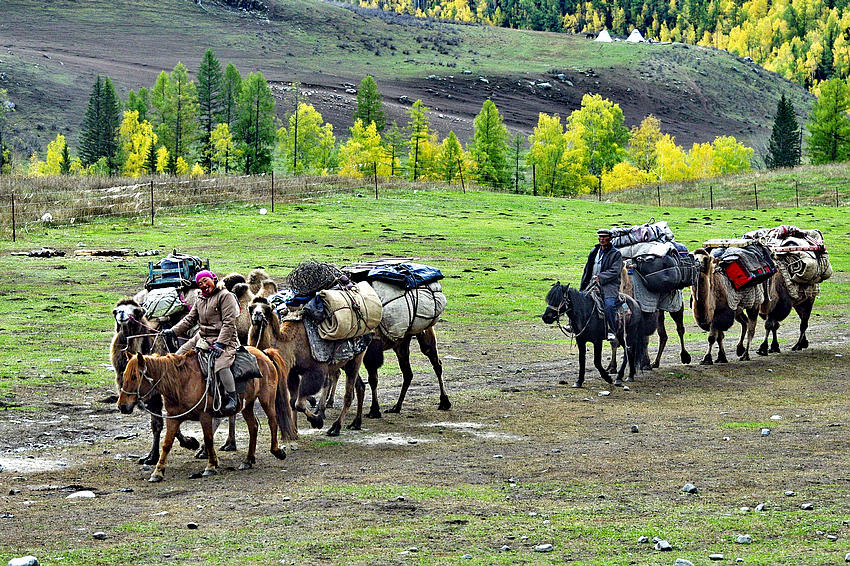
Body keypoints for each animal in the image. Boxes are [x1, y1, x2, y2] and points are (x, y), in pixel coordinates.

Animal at [116, 348, 294, 486]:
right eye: (124, 375)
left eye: (134, 376)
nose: (122, 406)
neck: (181, 381)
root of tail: (264, 353)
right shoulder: (173, 418)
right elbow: (166, 444)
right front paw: (157, 472)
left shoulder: (205, 416)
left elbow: (208, 439)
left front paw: (211, 466)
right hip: (247, 405)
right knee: (253, 427)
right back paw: (248, 460)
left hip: (266, 399)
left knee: (272, 421)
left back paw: (277, 451)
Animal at [245, 298, 364, 440]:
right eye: (251, 308)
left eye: (267, 309)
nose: (257, 314)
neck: (292, 346)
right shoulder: (292, 372)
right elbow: (292, 401)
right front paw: (295, 431)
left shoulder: (315, 370)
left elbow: (299, 404)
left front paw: (317, 421)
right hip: (345, 361)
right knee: (359, 386)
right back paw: (356, 423)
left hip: (357, 356)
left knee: (348, 395)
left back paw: (335, 428)